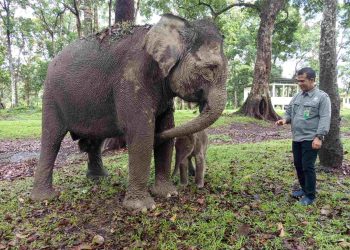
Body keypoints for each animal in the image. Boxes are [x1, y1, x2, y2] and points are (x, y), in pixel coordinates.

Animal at [32, 13, 227, 209]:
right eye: (210, 68)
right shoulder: (131, 77)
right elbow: (141, 131)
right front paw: (142, 207)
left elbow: (167, 126)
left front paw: (168, 194)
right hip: (51, 97)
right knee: (52, 139)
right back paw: (45, 197)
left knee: (95, 140)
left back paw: (99, 178)